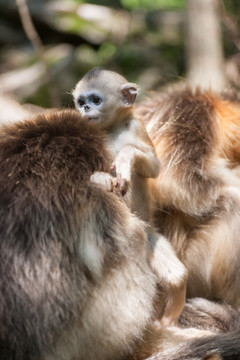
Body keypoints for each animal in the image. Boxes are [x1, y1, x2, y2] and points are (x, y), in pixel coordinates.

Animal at [72, 67, 187, 324]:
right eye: (81, 102)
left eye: (95, 100)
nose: (85, 109)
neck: (112, 129)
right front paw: (101, 179)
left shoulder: (136, 126)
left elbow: (153, 166)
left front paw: (125, 158)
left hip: (148, 236)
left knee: (177, 276)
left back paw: (166, 322)